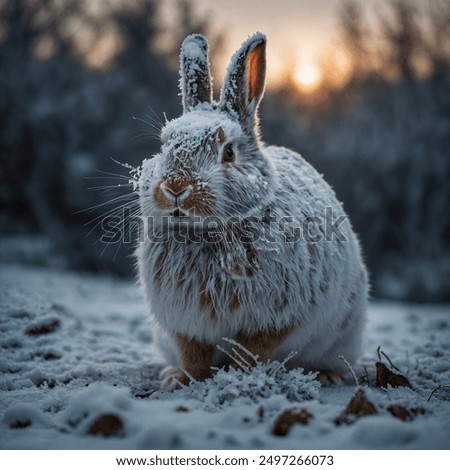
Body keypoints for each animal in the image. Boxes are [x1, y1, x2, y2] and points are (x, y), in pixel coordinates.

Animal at [137, 31, 370, 388]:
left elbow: (249, 353)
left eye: (229, 152)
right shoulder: (186, 323)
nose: (176, 188)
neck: (210, 230)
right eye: (165, 144)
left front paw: (236, 378)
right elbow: (194, 356)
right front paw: (182, 380)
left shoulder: (275, 318)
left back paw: (327, 376)